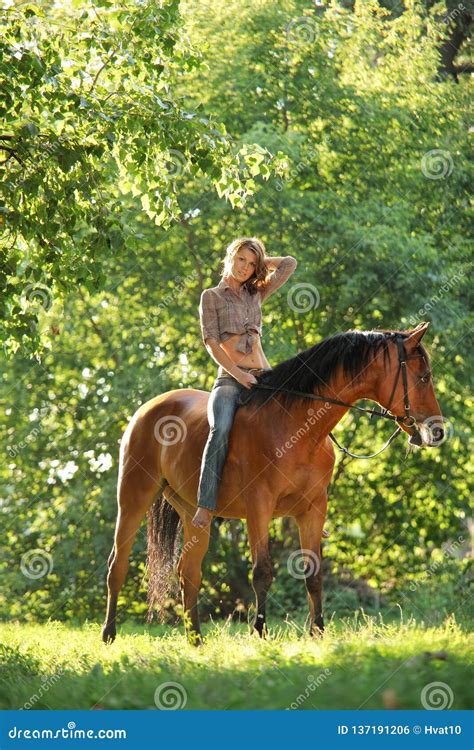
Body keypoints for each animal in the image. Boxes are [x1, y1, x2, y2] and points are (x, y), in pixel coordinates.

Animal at [101, 324, 444, 648]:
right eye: (424, 377)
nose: (438, 430)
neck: (298, 428)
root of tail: (147, 409)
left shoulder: (313, 510)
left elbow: (314, 574)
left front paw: (318, 633)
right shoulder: (259, 508)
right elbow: (262, 572)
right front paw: (259, 632)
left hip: (193, 514)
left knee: (189, 572)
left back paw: (196, 639)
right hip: (133, 499)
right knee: (117, 564)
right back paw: (109, 634)